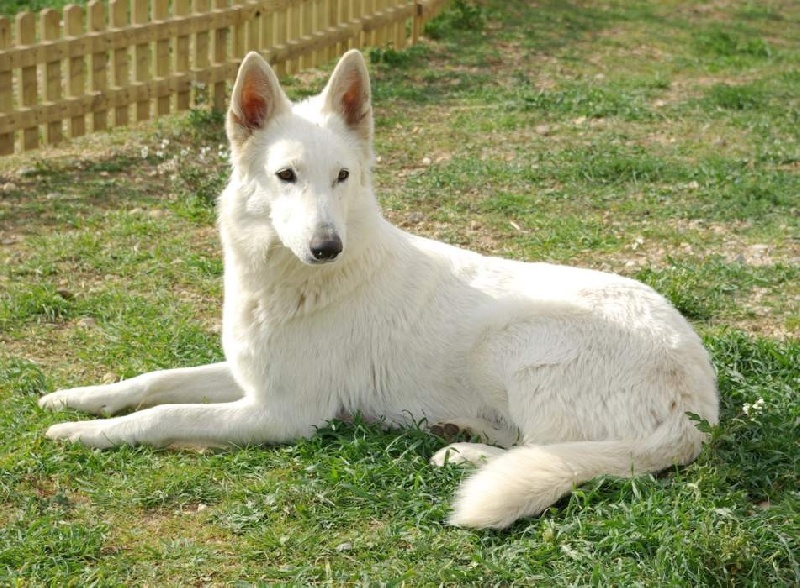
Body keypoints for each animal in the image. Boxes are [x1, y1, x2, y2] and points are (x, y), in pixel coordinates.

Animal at [39, 50, 719, 529]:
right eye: (286, 175)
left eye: (343, 176)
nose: (326, 247)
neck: (297, 282)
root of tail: (698, 405)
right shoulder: (249, 378)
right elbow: (153, 381)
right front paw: (75, 400)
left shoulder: (284, 413)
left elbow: (164, 414)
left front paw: (83, 436)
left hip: (518, 347)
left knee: (553, 450)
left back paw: (460, 455)